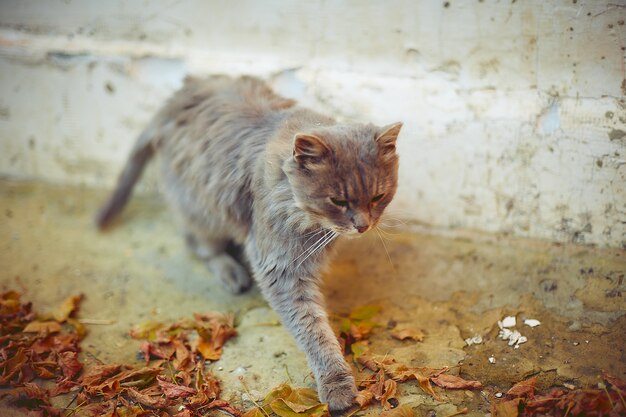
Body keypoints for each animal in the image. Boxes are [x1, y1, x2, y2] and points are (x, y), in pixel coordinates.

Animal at [95, 75, 402, 410]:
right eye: (338, 201)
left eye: (377, 197)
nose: (363, 225)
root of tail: (177, 97)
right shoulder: (281, 270)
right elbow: (314, 330)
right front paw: (337, 385)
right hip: (202, 208)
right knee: (198, 244)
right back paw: (232, 272)